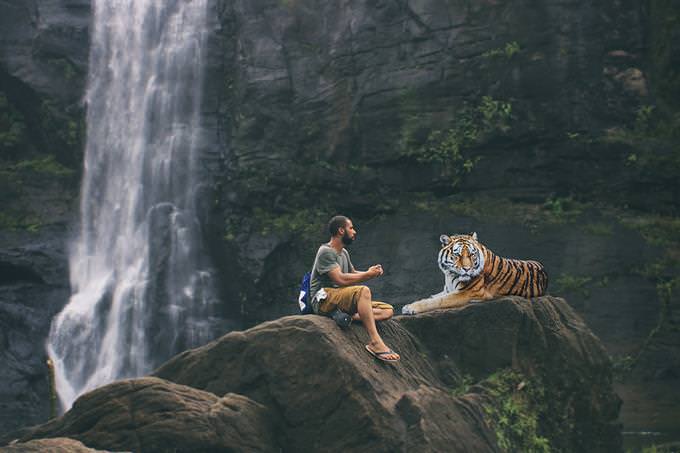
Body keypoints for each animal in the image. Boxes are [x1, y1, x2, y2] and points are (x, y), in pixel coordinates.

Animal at [402, 231, 548, 312]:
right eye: (457, 255)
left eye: (472, 254)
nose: (467, 269)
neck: (450, 274)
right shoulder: (447, 290)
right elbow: (432, 297)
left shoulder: (467, 292)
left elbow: (437, 301)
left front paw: (409, 308)